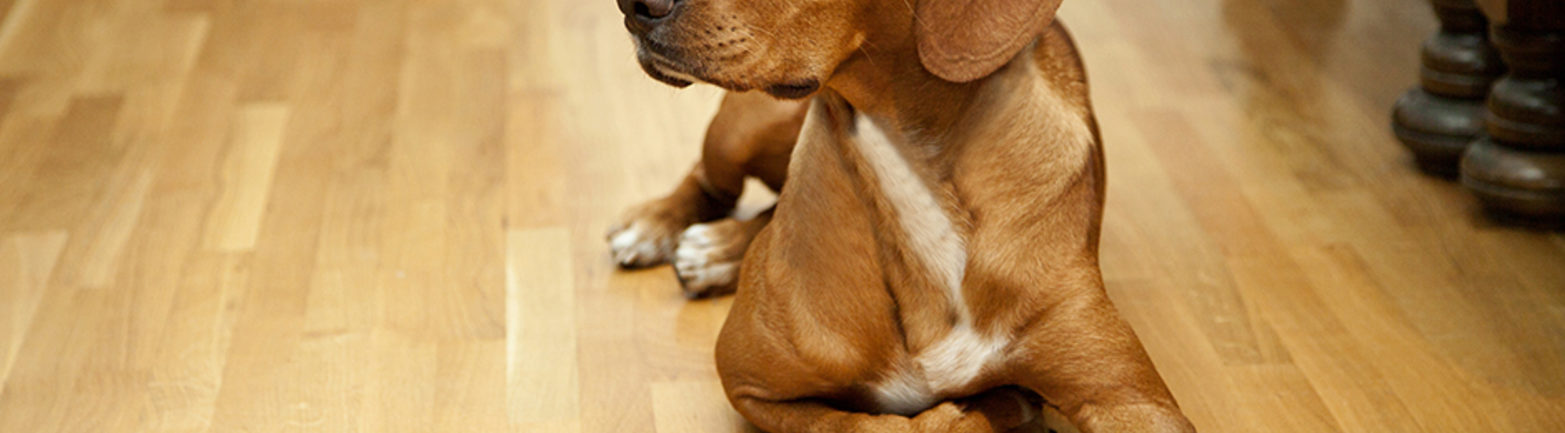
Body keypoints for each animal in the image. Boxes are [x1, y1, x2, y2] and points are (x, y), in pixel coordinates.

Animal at [604, 0, 1189, 428]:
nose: (633, 3)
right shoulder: (750, 383)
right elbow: (875, 424)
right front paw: (976, 414)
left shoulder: (1130, 401)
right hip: (740, 130)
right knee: (710, 181)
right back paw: (659, 227)